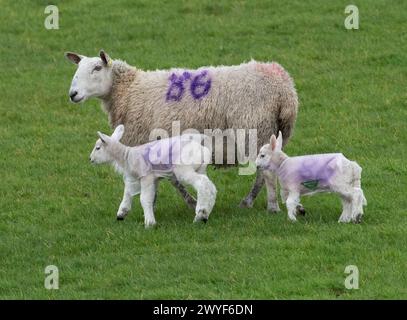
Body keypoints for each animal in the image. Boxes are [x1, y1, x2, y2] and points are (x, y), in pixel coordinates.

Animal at [66, 50, 300, 212]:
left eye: (97, 68)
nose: (72, 94)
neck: (129, 91)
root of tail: (284, 88)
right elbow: (171, 179)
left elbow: (172, 181)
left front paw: (187, 203)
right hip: (270, 133)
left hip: (253, 130)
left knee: (266, 173)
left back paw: (266, 205)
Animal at [89, 124, 217, 226]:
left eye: (98, 148)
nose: (90, 159)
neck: (127, 156)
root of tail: (202, 149)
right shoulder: (146, 178)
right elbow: (129, 193)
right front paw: (121, 213)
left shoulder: (146, 176)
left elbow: (144, 198)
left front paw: (149, 223)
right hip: (200, 168)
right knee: (209, 186)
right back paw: (205, 213)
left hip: (184, 169)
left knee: (202, 183)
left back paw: (200, 213)